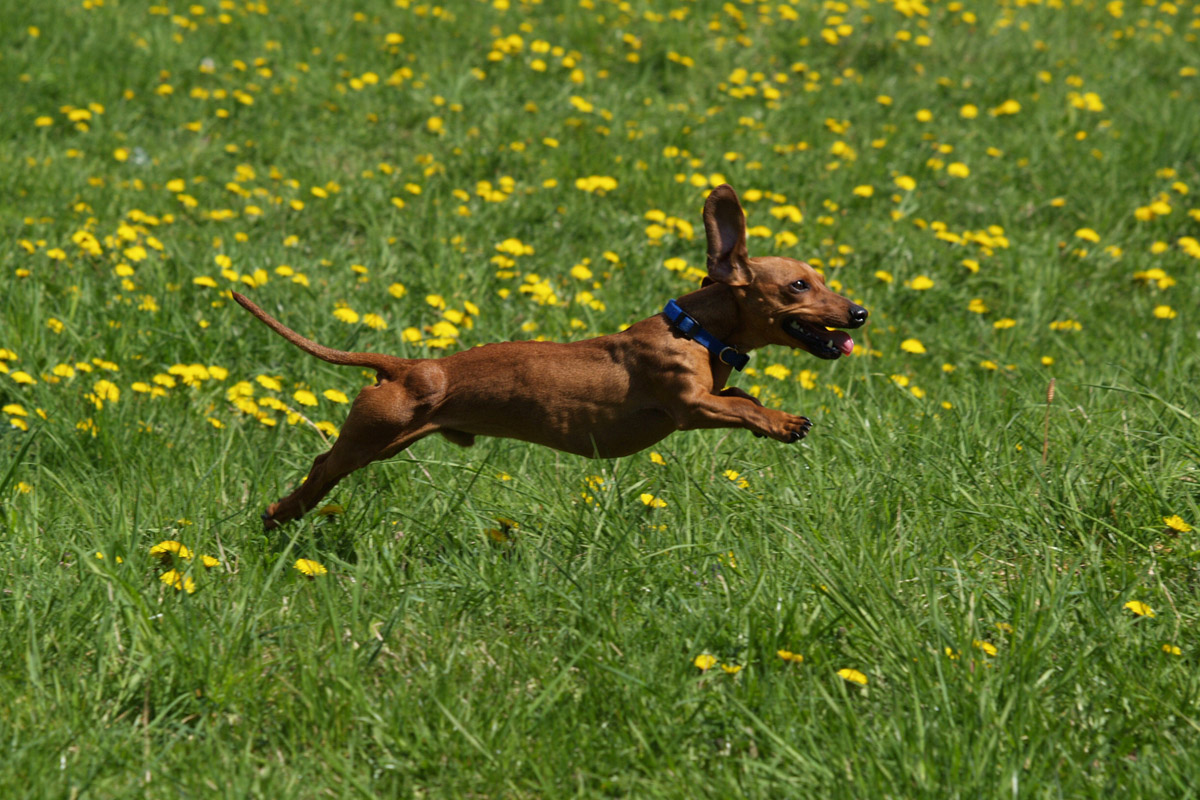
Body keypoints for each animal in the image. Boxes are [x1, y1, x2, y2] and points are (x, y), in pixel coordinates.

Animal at [231, 184, 864, 527]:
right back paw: (280, 513)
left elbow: (743, 395)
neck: (692, 331)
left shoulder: (710, 391)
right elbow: (738, 405)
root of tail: (407, 368)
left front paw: (768, 418)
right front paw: (782, 423)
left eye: (822, 279)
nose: (858, 313)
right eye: (799, 287)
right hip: (370, 437)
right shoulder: (688, 406)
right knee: (322, 466)